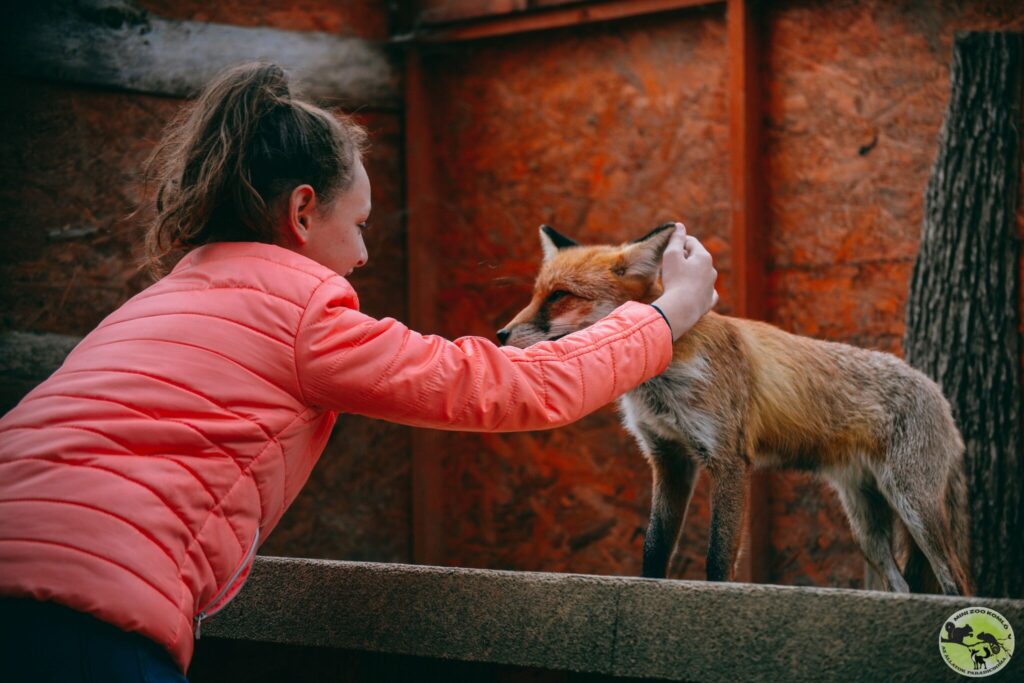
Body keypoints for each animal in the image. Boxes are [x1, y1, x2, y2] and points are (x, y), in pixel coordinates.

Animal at [499, 222, 970, 593]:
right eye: (537, 294)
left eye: (560, 296)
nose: (500, 334)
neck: (666, 379)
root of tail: (939, 393)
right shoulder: (668, 458)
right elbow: (654, 549)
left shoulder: (727, 458)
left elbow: (718, 558)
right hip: (866, 526)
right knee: (903, 586)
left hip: (914, 505)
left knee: (957, 582)